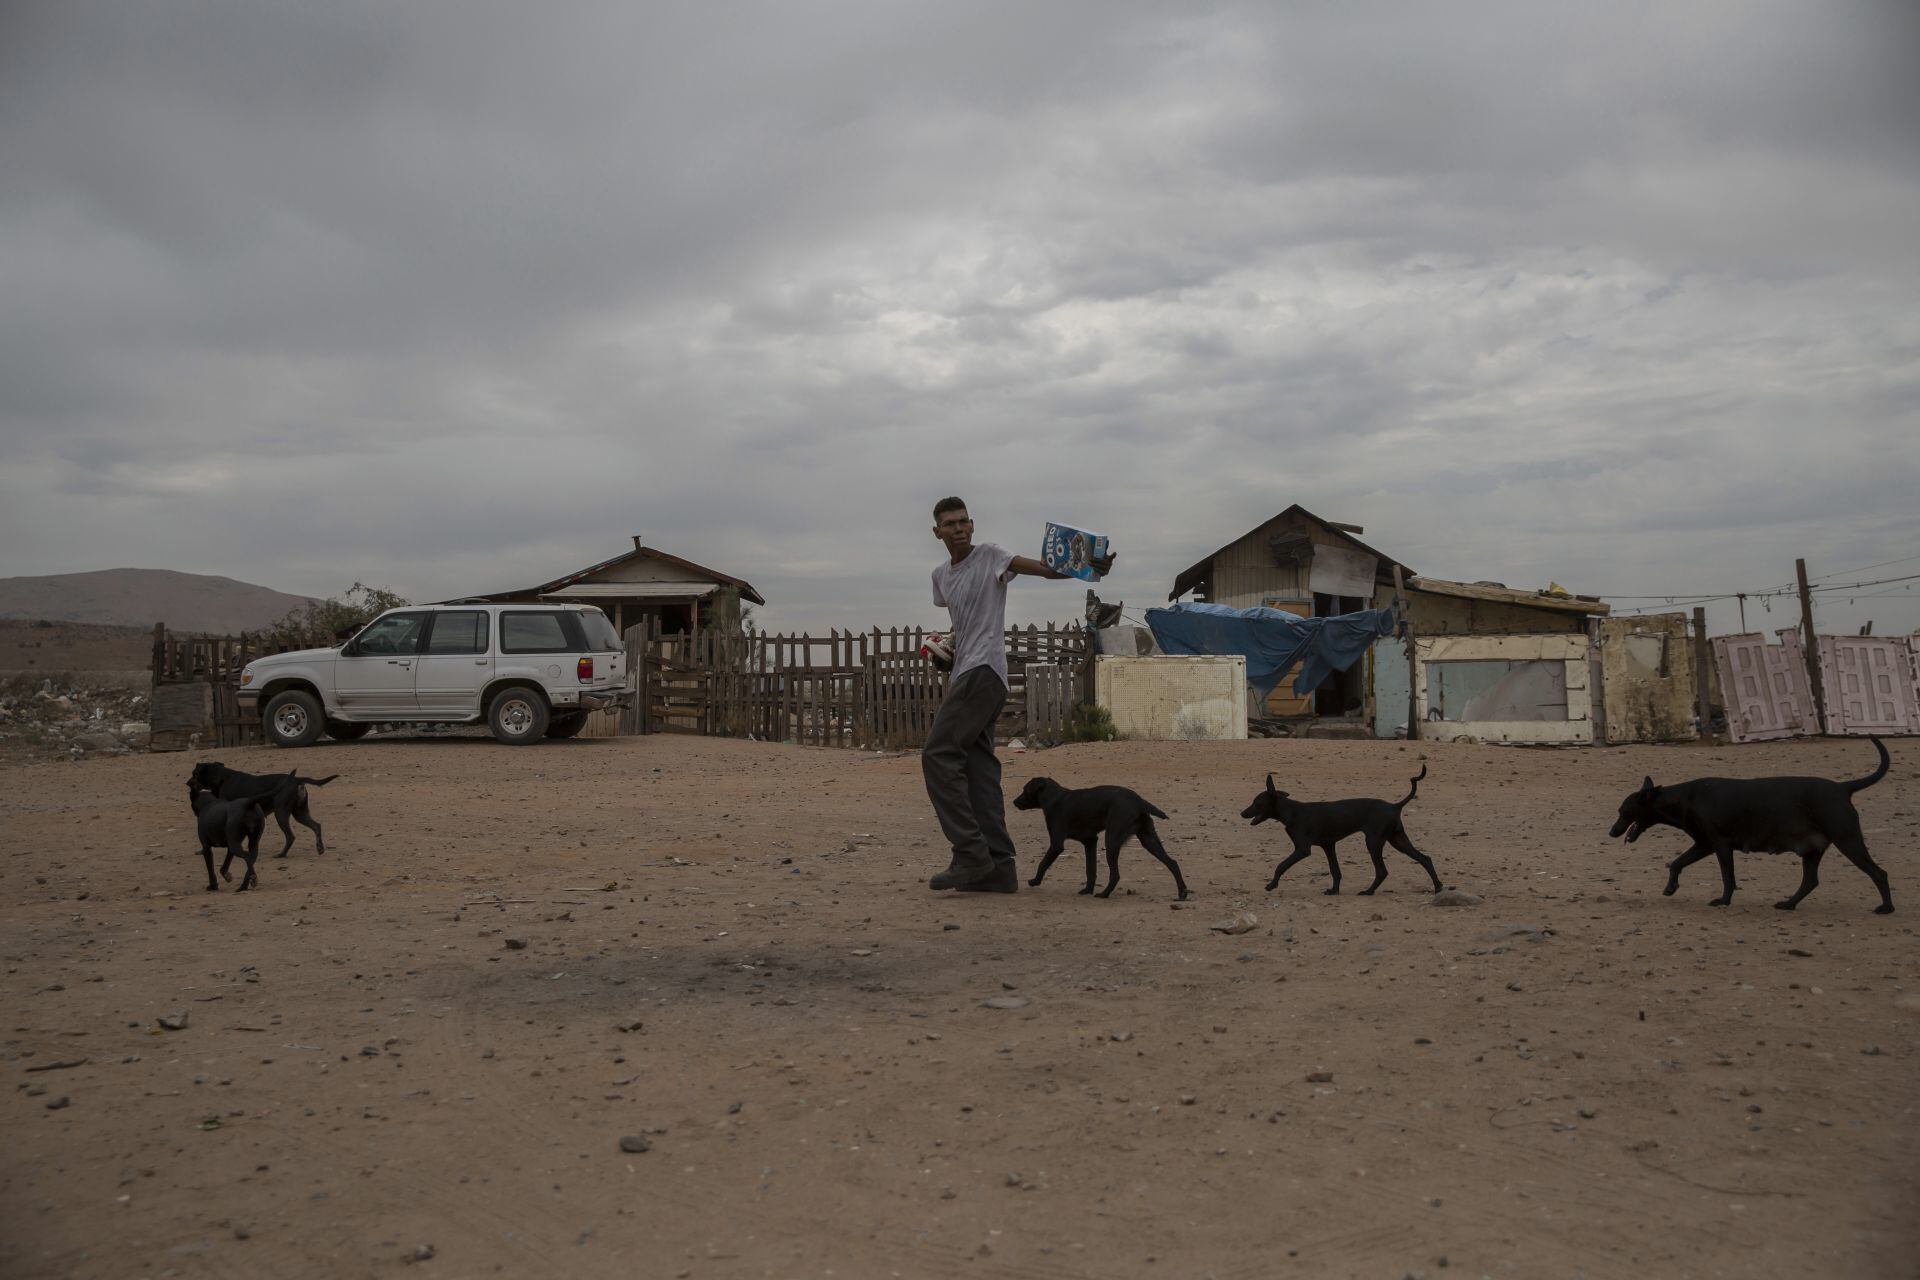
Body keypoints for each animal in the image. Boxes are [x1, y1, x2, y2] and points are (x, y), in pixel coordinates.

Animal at [187, 759, 337, 859]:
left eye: (195, 774)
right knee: (316, 826)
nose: (187, 783)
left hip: (281, 813)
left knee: (290, 836)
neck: (221, 779)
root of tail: (296, 780)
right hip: (300, 813)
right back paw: (320, 848)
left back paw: (282, 854)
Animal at [1021, 775, 1182, 898]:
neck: (1055, 797)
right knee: (1172, 863)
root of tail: (1139, 800)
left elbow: (1043, 863)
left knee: (1115, 874)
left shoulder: (1056, 845)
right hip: (1148, 840)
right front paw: (1087, 890)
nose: (1016, 802)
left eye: (1024, 789)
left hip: (1112, 841)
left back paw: (1104, 894)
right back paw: (1182, 893)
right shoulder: (1090, 841)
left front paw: (1035, 881)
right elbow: (1091, 869)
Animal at [1244, 767, 1443, 898]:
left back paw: (1368, 892)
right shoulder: (1328, 846)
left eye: (1256, 803)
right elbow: (1335, 870)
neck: (1291, 811)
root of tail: (1395, 806)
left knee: (1382, 871)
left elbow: (1281, 865)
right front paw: (1334, 890)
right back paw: (1438, 887)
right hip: (1398, 840)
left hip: (1374, 842)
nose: (1242, 813)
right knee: (1425, 858)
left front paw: (1272, 885)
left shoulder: (1302, 849)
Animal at [1612, 736, 1896, 917]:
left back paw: (1886, 908)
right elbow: (1677, 863)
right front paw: (1671, 888)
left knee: (1879, 873)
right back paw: (1789, 904)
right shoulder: (1704, 845)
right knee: (1810, 881)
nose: (1612, 831)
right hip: (1812, 850)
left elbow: (1728, 876)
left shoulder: (1720, 845)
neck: (1686, 798)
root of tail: (1842, 788)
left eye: (1623, 812)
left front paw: (1724, 901)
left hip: (1848, 841)